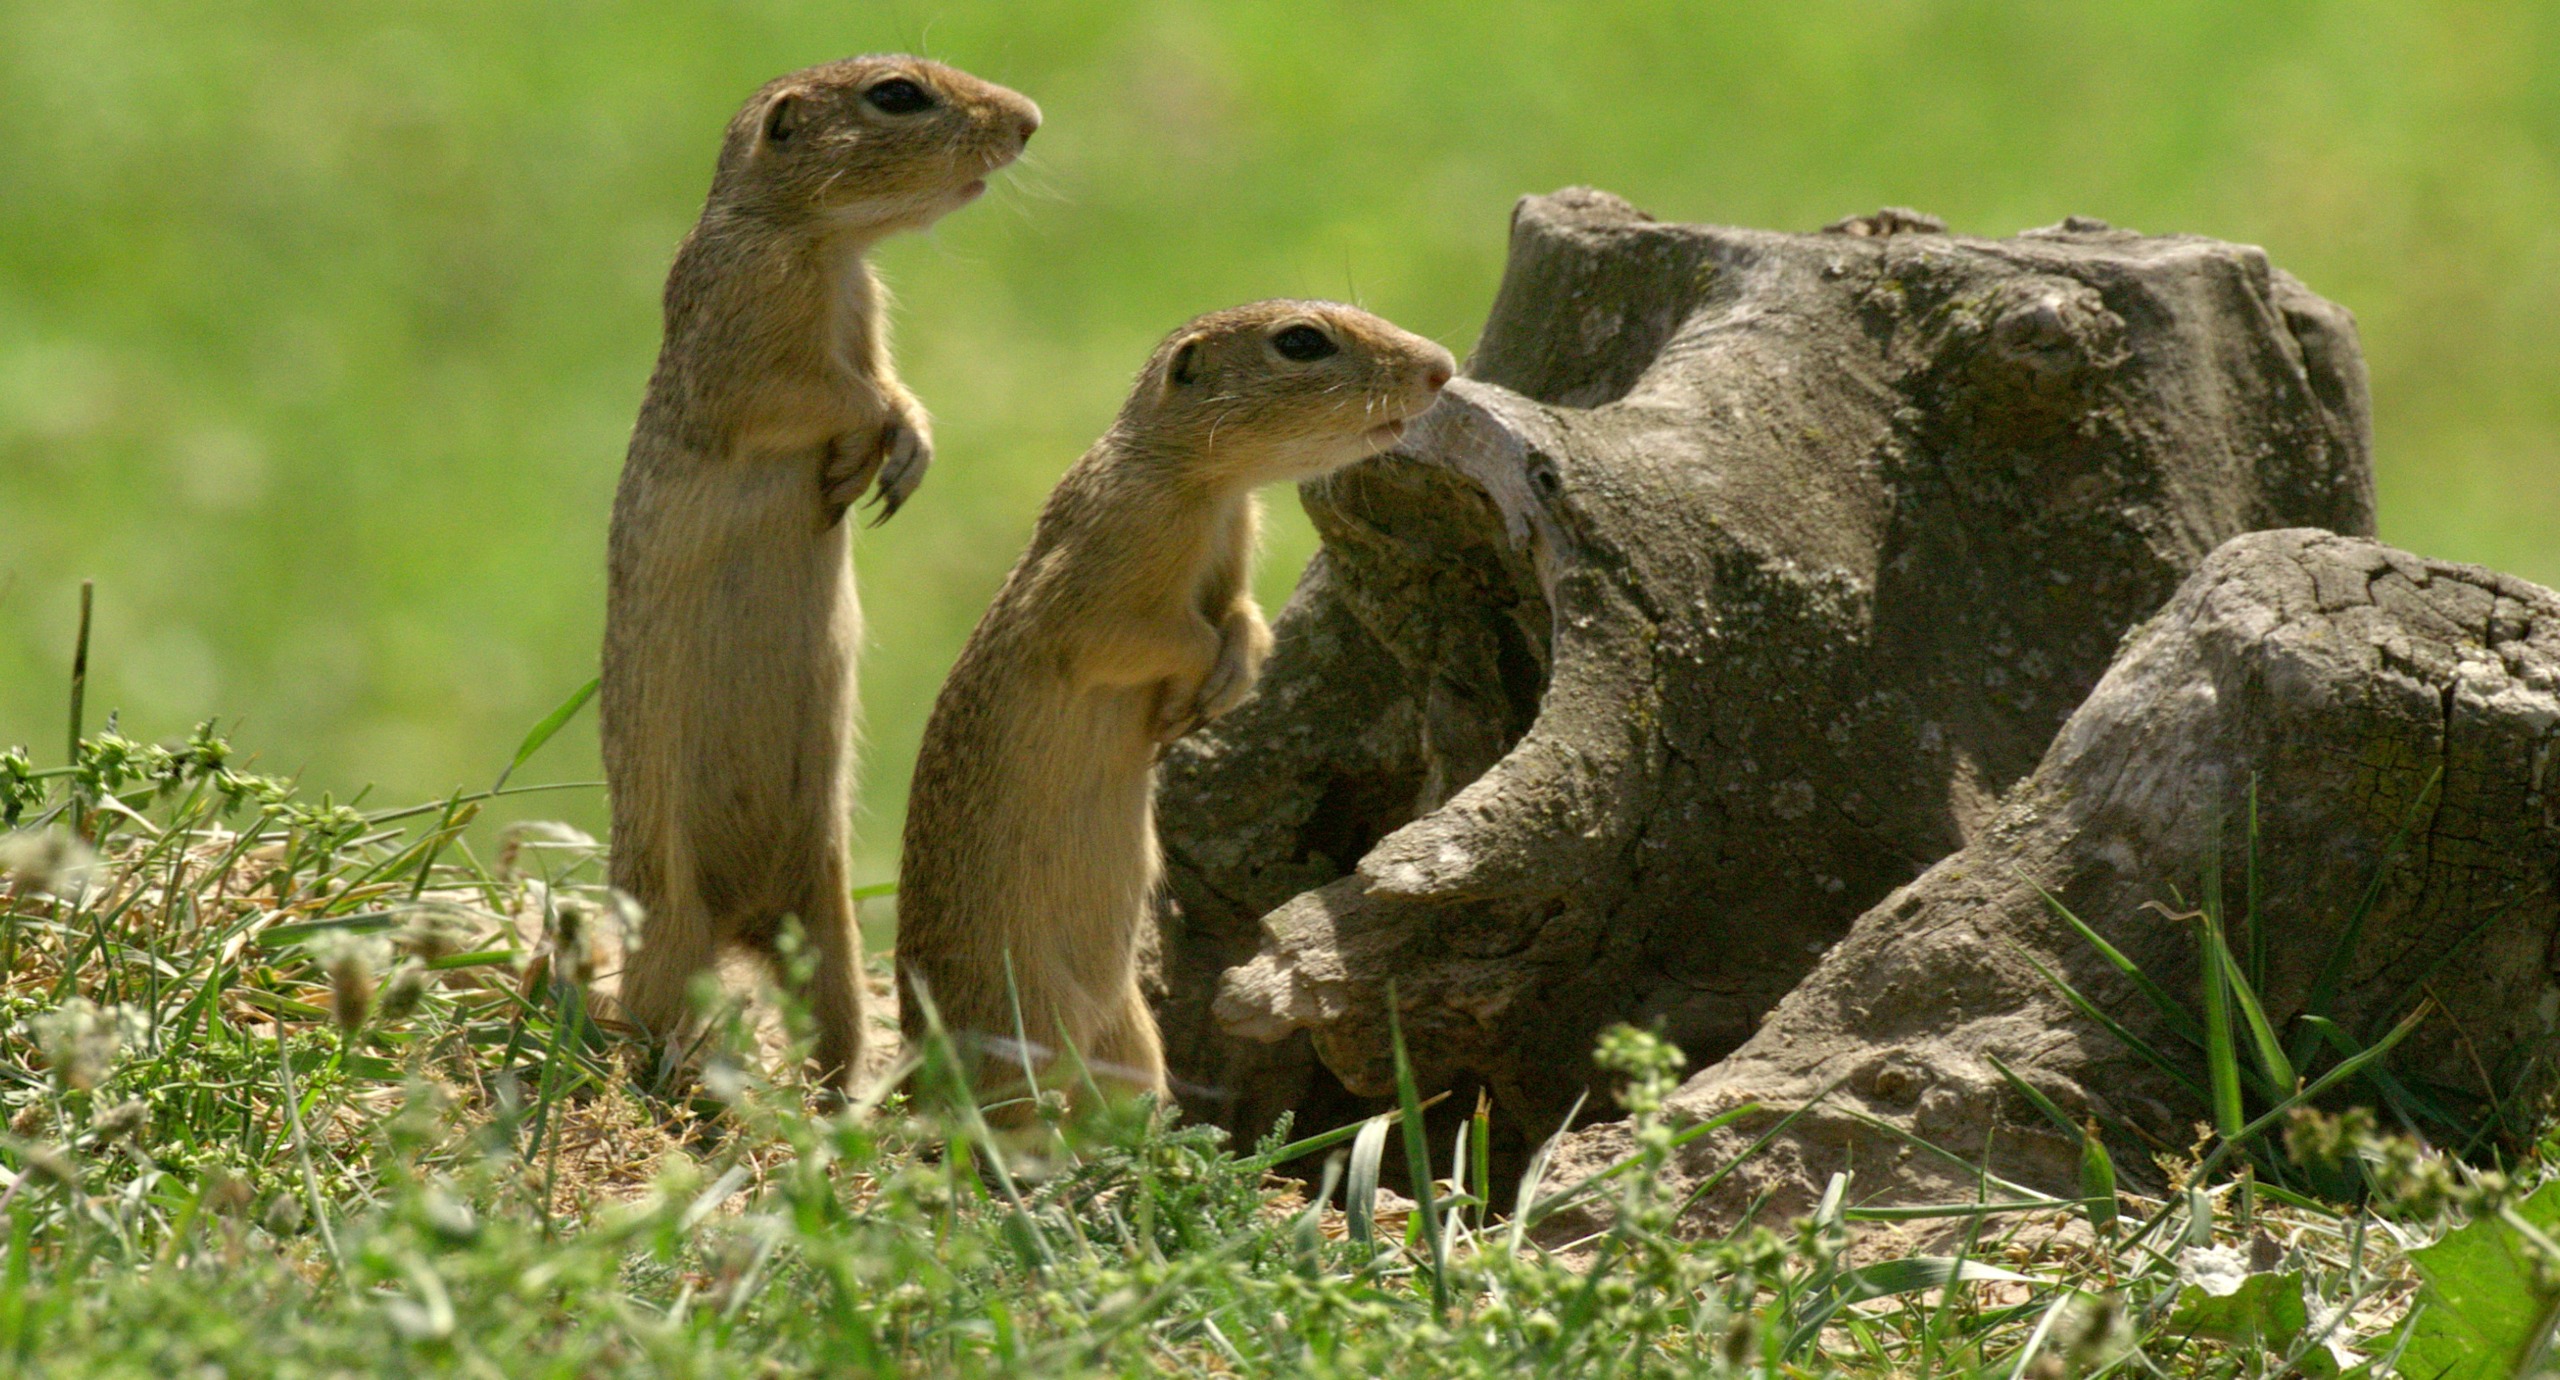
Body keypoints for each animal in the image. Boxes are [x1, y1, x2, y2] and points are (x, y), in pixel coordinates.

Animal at [601, 54, 1039, 1090]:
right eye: (898, 95)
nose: (1031, 120)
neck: (824, 246)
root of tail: (739, 920)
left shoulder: (865, 313)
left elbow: (884, 384)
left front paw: (900, 453)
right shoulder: (747, 323)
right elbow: (822, 390)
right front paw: (874, 442)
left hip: (832, 925)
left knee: (834, 1024)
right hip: (668, 911)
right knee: (647, 1009)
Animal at [890, 302, 1454, 1111]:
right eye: (1301, 342)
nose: (1442, 367)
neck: (1205, 487)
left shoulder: (1236, 544)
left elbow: (1242, 616)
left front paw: (1232, 676)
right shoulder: (1107, 569)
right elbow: (1158, 634)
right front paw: (1190, 698)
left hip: (1129, 1034)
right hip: (1025, 1021)